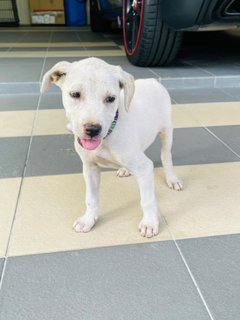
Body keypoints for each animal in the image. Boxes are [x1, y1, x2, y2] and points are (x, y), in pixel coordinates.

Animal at [41, 57, 184, 238]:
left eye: (110, 98)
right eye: (75, 94)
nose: (93, 129)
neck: (107, 137)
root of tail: (152, 80)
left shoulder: (144, 168)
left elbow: (147, 200)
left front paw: (150, 223)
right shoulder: (90, 168)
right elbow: (91, 199)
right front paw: (88, 220)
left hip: (167, 131)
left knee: (166, 156)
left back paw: (172, 179)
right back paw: (125, 169)